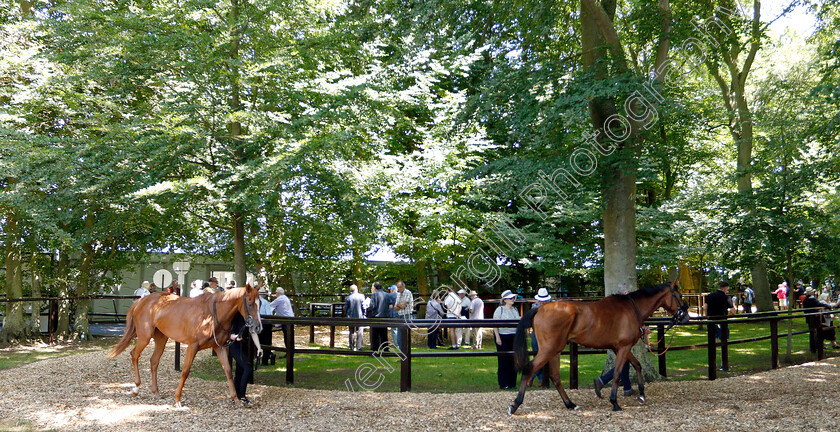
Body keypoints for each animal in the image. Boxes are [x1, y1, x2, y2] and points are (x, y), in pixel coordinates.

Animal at [107, 286, 262, 406]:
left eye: (259, 303)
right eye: (249, 303)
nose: (257, 327)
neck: (211, 315)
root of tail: (141, 300)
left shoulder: (219, 347)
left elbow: (228, 371)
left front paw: (236, 399)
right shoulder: (192, 347)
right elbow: (185, 372)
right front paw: (177, 400)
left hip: (161, 338)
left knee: (154, 361)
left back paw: (156, 393)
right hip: (145, 336)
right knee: (135, 355)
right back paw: (136, 389)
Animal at [508, 282, 684, 414]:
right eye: (679, 295)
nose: (685, 312)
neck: (632, 308)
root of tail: (540, 308)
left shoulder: (620, 348)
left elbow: (637, 365)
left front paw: (641, 394)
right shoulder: (624, 347)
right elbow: (618, 373)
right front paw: (614, 402)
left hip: (555, 350)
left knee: (555, 377)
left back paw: (570, 404)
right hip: (548, 350)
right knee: (529, 369)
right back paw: (515, 404)